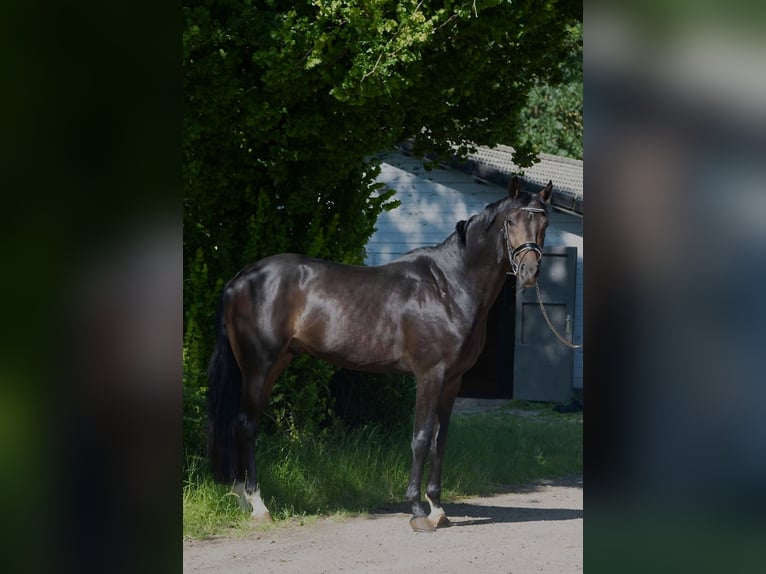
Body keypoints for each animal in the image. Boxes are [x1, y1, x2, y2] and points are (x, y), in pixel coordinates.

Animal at [208, 178, 552, 532]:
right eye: (510, 221)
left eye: (544, 222)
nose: (528, 271)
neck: (448, 287)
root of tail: (239, 279)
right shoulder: (430, 375)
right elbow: (421, 438)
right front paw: (417, 511)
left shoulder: (453, 380)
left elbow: (440, 441)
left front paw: (438, 508)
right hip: (258, 367)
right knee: (246, 425)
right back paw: (257, 504)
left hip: (274, 363)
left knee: (238, 424)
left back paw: (241, 499)